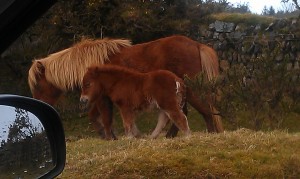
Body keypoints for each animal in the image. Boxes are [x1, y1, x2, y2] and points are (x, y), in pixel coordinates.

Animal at [28, 35, 224, 138]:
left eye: (38, 85)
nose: (40, 105)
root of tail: (196, 44)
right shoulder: (99, 98)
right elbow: (96, 117)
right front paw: (107, 135)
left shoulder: (102, 99)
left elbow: (106, 118)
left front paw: (110, 137)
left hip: (191, 90)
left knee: (204, 111)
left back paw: (209, 133)